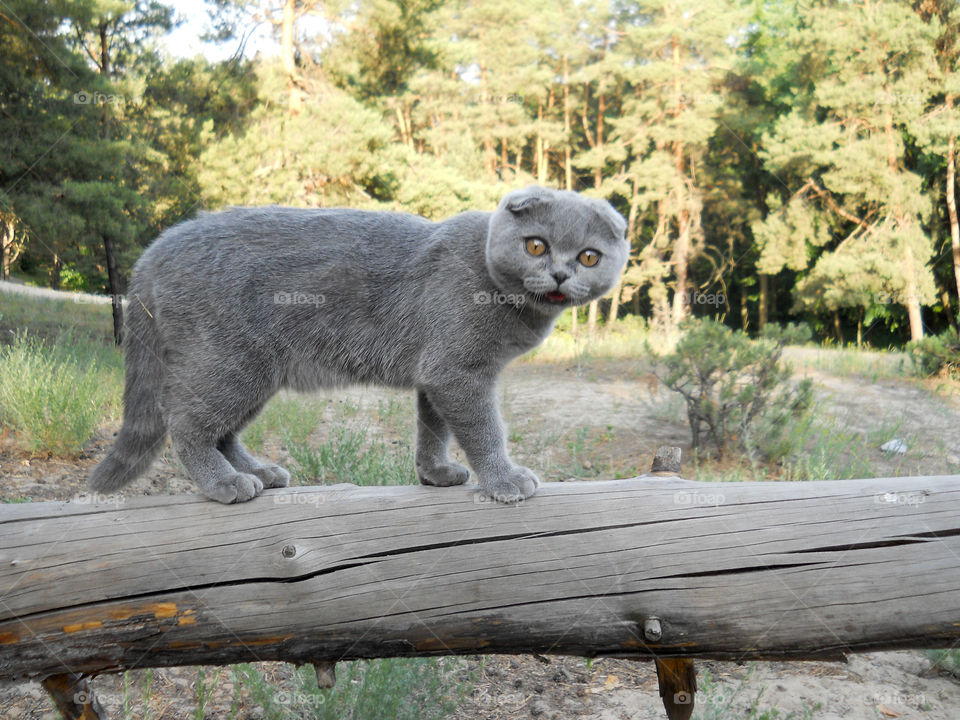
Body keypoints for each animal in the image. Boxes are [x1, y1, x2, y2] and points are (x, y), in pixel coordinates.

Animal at [90, 188, 632, 504]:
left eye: (589, 256)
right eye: (536, 245)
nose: (560, 273)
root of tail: (158, 247)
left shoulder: (435, 375)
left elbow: (432, 428)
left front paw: (434, 473)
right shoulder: (458, 371)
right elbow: (484, 429)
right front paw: (504, 480)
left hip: (254, 372)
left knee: (221, 430)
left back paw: (259, 471)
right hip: (231, 363)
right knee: (185, 423)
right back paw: (224, 482)